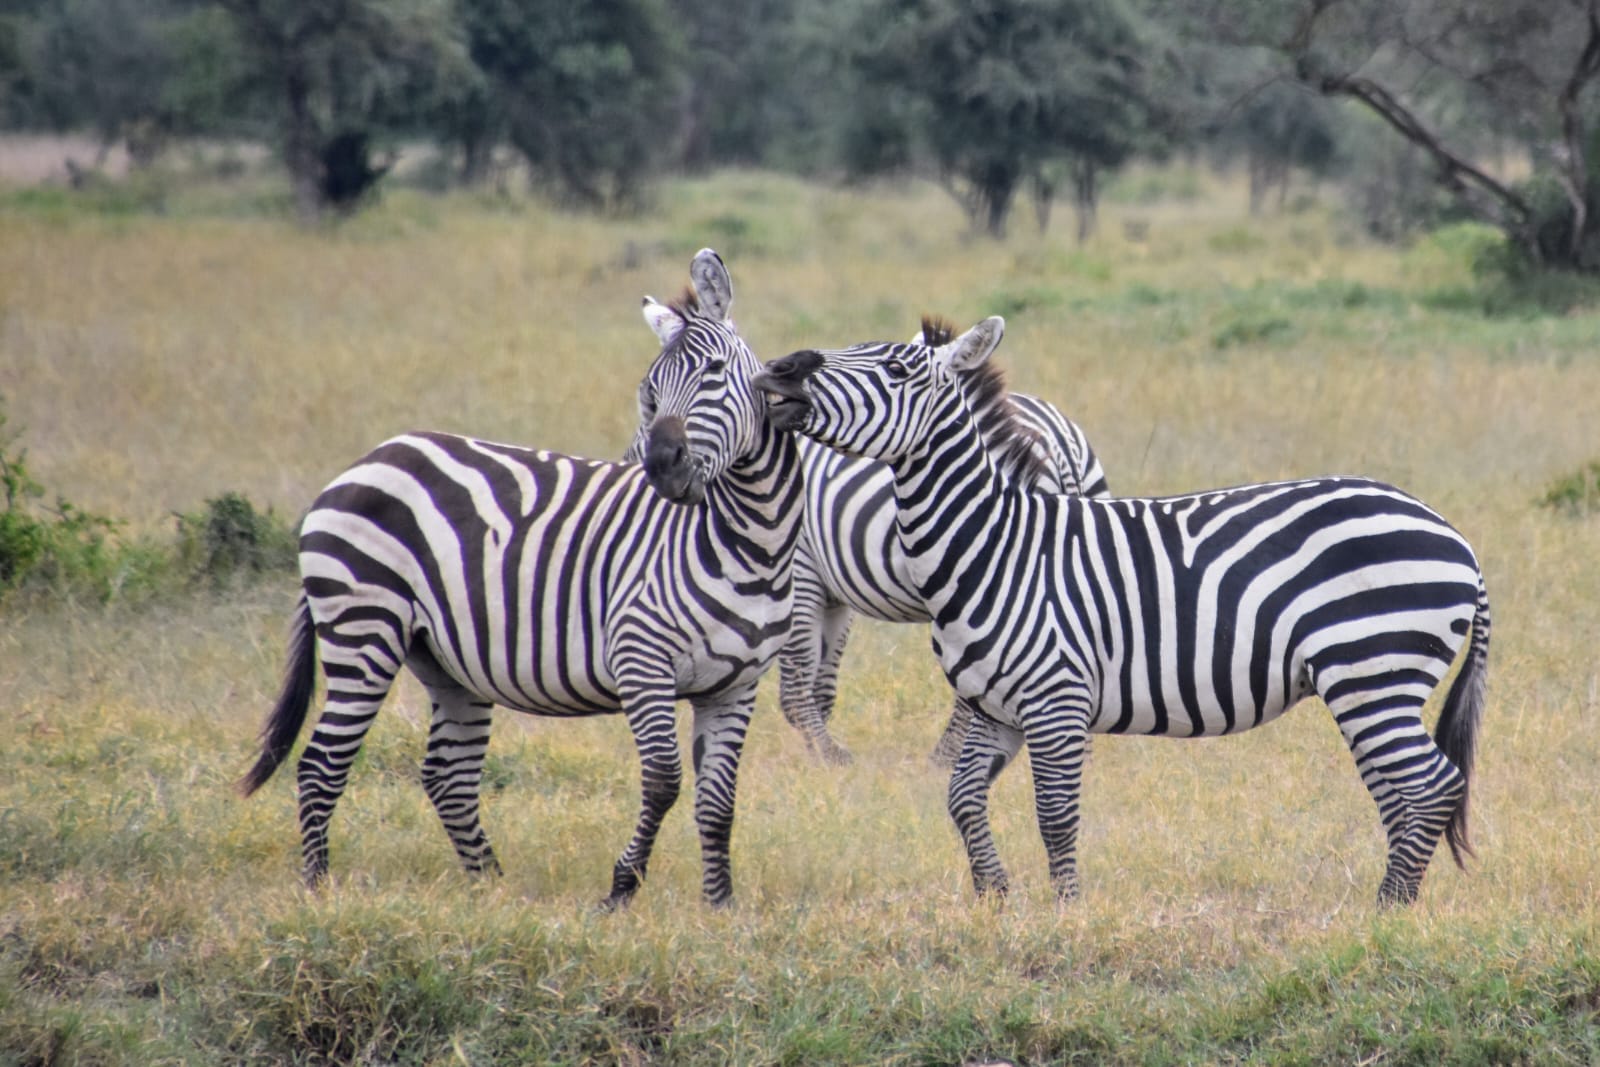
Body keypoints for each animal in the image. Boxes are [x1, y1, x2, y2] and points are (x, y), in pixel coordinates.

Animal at [240, 249, 803, 909]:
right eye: (651, 390)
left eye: (714, 372)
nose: (661, 466)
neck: (753, 542)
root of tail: (366, 461)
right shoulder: (641, 660)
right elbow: (664, 781)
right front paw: (620, 890)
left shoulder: (737, 686)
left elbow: (719, 803)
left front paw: (721, 905)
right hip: (364, 626)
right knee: (322, 763)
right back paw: (320, 888)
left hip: (442, 658)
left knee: (447, 775)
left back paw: (490, 889)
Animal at [776, 317, 1110, 766]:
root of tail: (1062, 444)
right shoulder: (832, 589)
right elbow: (819, 687)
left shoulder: (803, 566)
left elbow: (797, 689)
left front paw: (828, 761)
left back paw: (939, 759)